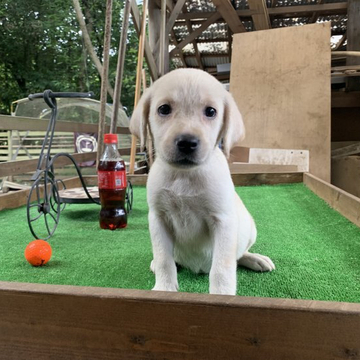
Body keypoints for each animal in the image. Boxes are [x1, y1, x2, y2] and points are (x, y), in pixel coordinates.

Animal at [131, 68, 274, 296]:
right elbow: (164, 259)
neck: (185, 176)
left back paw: (254, 258)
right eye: (164, 109)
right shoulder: (158, 218)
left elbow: (222, 267)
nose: (187, 142)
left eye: (211, 111)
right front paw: (164, 289)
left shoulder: (223, 220)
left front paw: (222, 295)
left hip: (250, 228)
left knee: (237, 256)